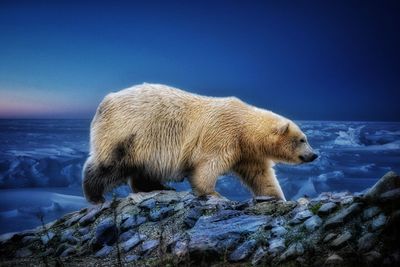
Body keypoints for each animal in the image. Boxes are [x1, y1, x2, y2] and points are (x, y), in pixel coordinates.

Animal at [83, 82, 318, 204]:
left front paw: (277, 197)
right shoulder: (222, 133)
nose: (314, 154)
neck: (244, 125)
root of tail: (104, 103)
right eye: (302, 139)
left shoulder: (247, 152)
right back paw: (95, 195)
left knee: (143, 168)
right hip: (128, 132)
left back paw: (158, 186)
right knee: (109, 164)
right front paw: (213, 193)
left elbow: (260, 174)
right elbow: (207, 164)